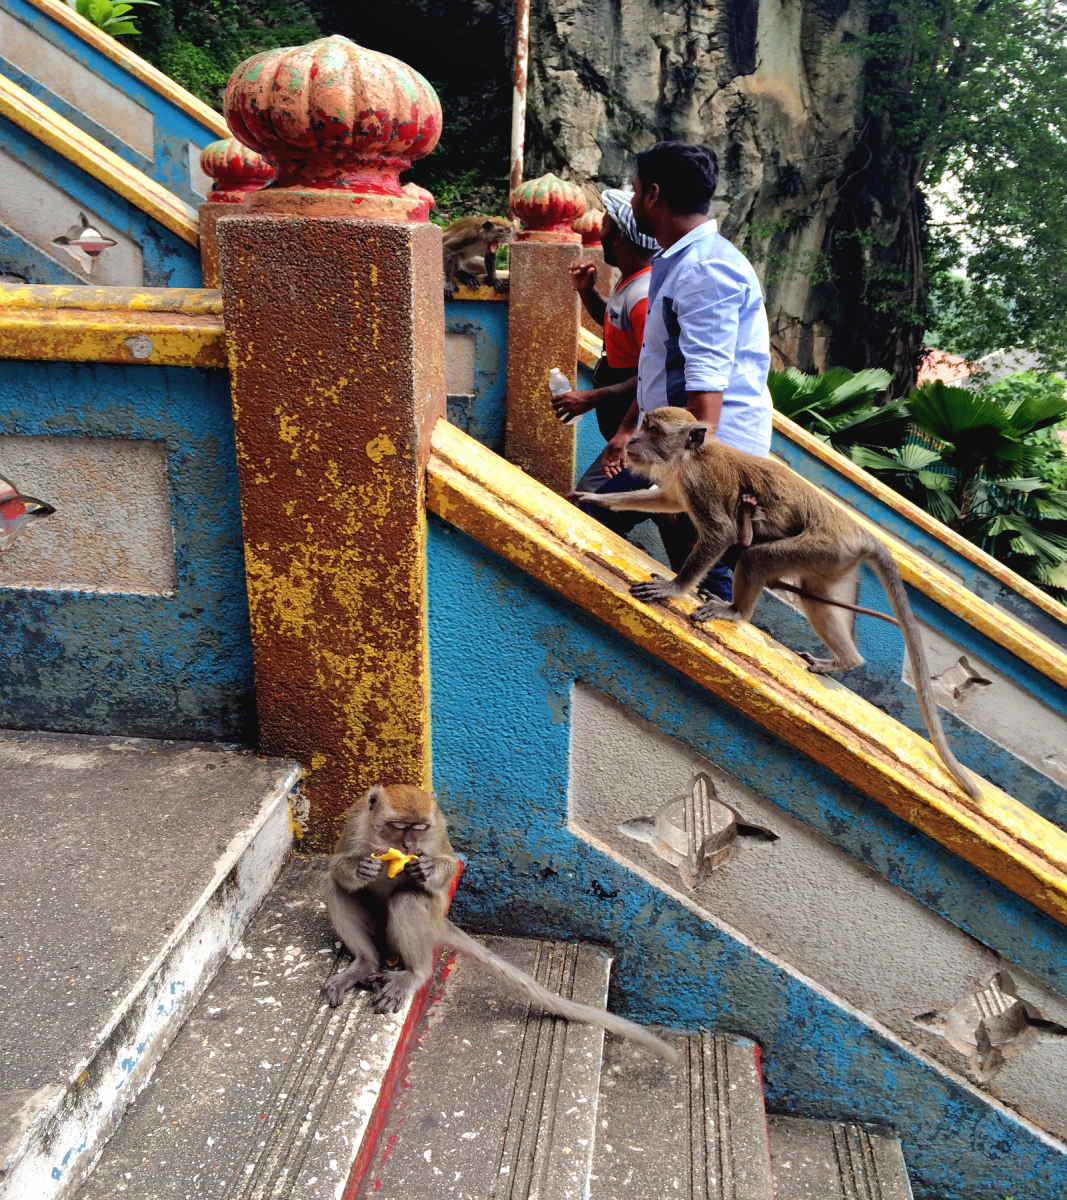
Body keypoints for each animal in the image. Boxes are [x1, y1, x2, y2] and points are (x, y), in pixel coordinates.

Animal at [324, 783, 680, 1065]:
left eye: (421, 828)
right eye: (399, 826)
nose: (409, 846)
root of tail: (441, 923)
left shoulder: (438, 827)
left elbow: (447, 866)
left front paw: (427, 869)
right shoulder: (357, 818)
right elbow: (338, 865)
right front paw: (360, 868)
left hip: (427, 922)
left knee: (407, 899)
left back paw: (416, 973)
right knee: (337, 889)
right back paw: (365, 963)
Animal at [574, 406, 980, 801]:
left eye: (654, 430)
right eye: (644, 424)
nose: (633, 440)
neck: (690, 457)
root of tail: (859, 531)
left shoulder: (702, 483)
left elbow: (719, 533)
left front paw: (674, 588)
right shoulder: (680, 483)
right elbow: (666, 500)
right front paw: (598, 500)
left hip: (822, 546)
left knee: (755, 558)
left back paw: (737, 609)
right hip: (835, 562)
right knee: (818, 601)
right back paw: (846, 660)